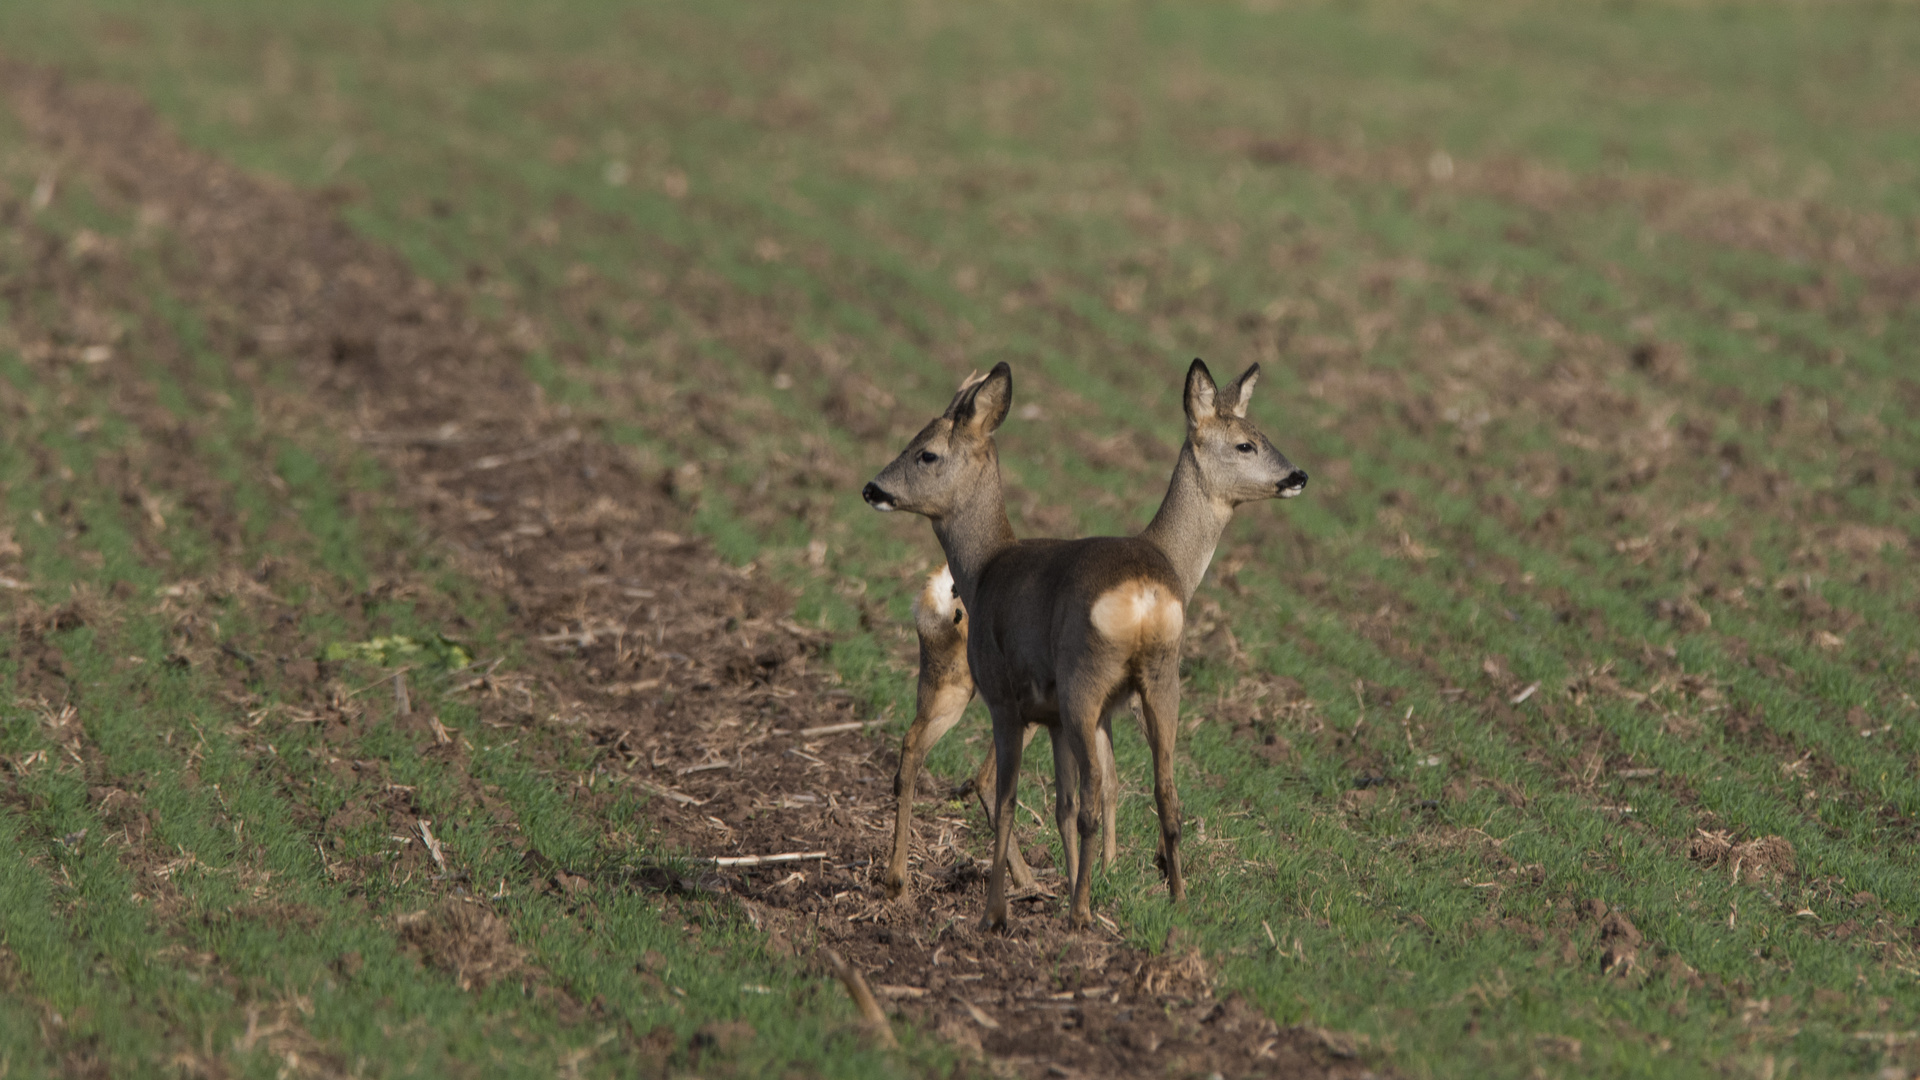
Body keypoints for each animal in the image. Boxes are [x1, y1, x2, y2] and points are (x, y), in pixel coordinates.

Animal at [867, 359, 1305, 926]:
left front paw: (1092, 880)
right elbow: (1094, 789)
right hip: (1118, 682)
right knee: (1144, 791)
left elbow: (1070, 793)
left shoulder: (1035, 703)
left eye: (926, 451)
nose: (873, 488)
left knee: (944, 762)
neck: (985, 566)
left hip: (1027, 687)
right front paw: (1108, 876)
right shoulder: (1083, 707)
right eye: (1246, 444)